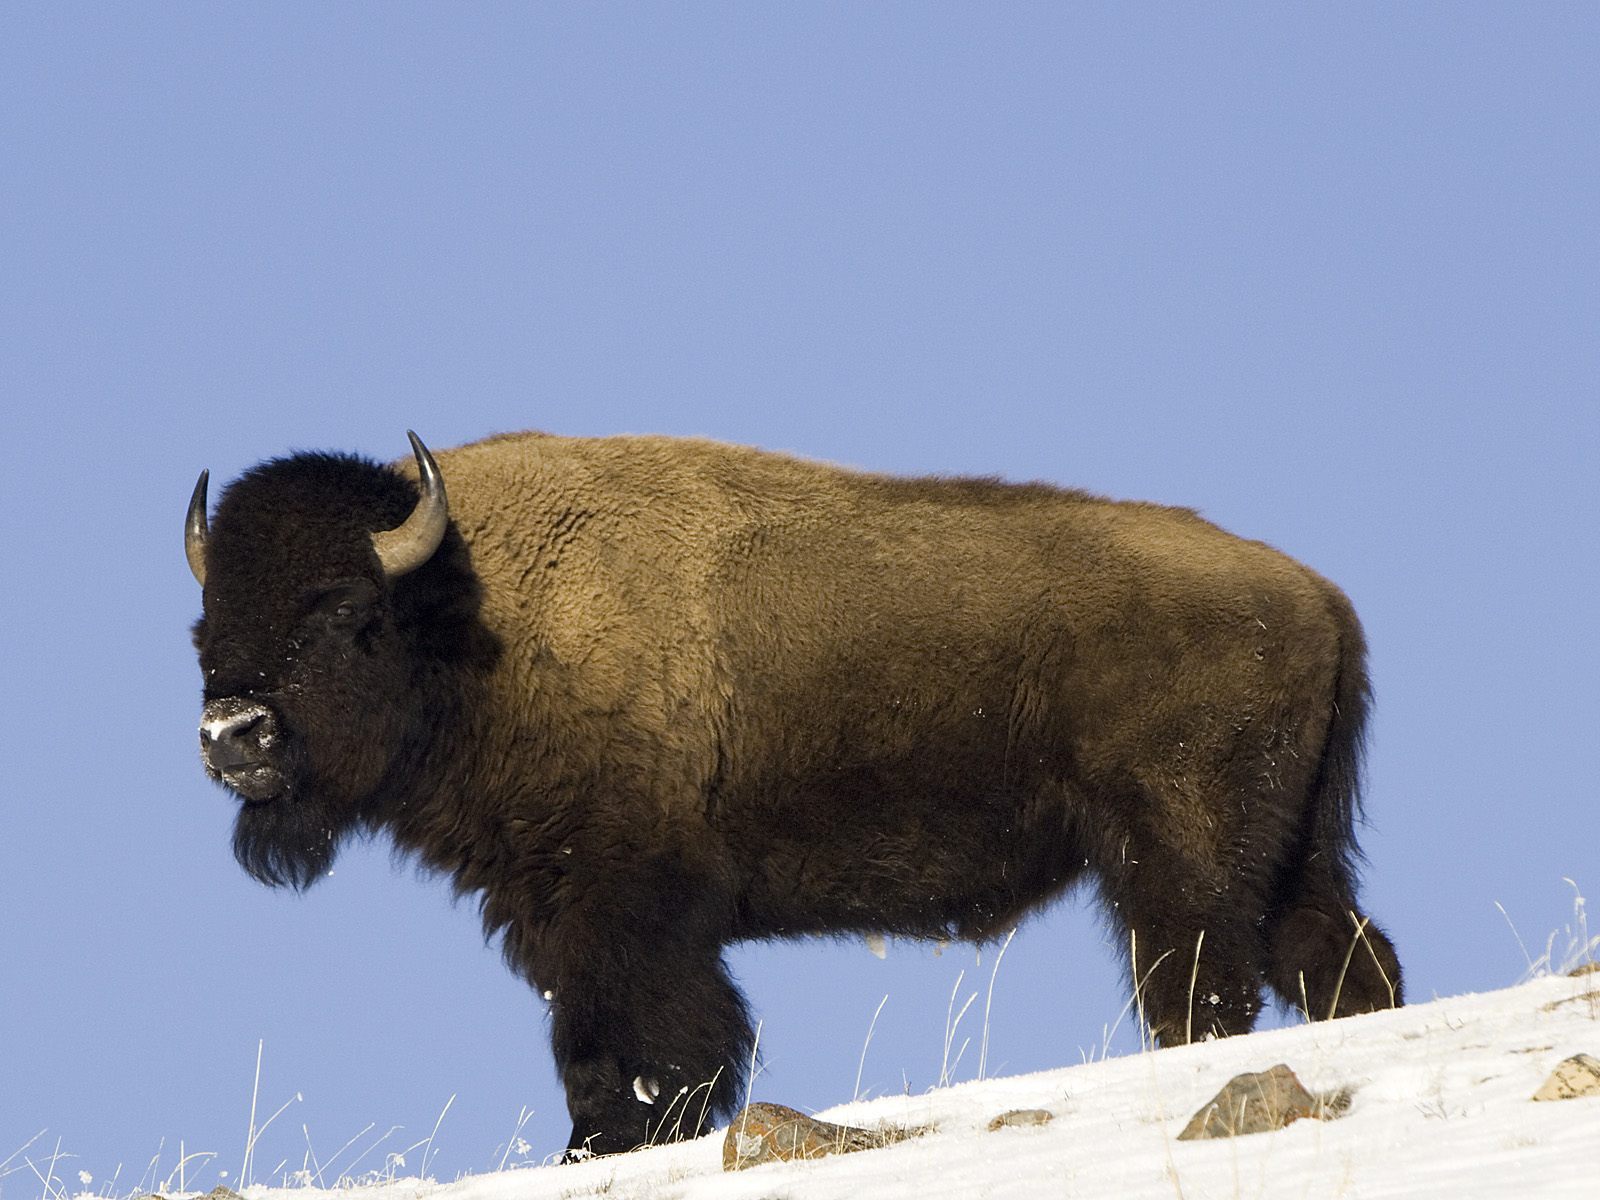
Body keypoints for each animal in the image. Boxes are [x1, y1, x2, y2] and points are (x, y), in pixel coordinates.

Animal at [187, 428, 1401, 1158]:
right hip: (1291, 855)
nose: (233, 735)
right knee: (1341, 962)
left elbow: (641, 1046)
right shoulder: (554, 910)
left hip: (1179, 855)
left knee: (1200, 987)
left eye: (346, 613)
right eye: (203, 627)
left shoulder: (624, 914)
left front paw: (609, 1144)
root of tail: (1318, 596)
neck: (472, 613)